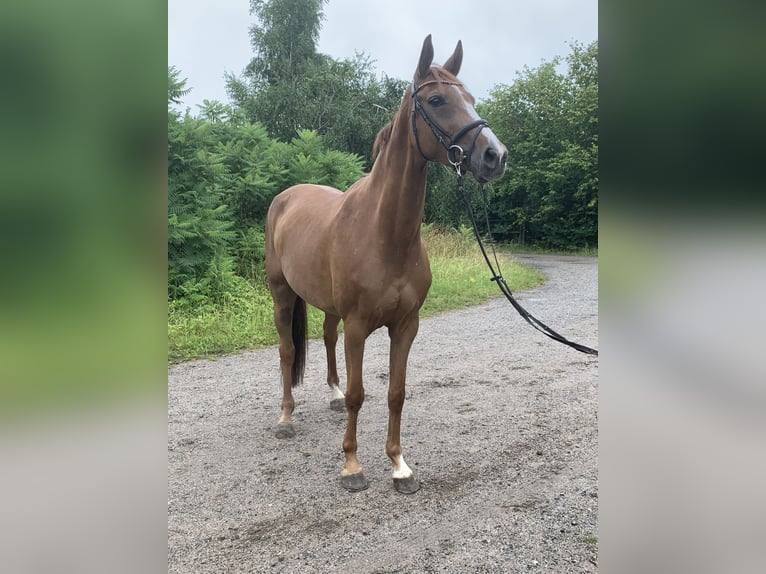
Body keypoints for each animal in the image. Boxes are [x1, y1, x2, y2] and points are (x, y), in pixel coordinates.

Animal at [264, 35, 508, 493]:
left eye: (470, 98)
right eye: (436, 99)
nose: (495, 156)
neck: (385, 233)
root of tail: (286, 196)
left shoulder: (406, 325)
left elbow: (396, 392)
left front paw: (399, 466)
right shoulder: (359, 325)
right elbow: (360, 394)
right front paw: (352, 467)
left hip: (327, 305)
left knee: (327, 339)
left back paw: (331, 396)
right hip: (282, 294)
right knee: (287, 351)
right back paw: (286, 418)